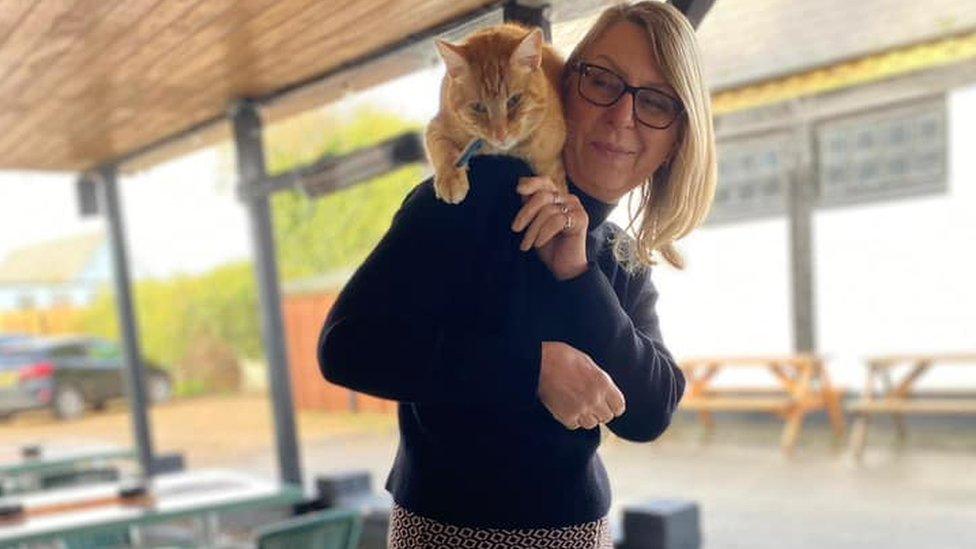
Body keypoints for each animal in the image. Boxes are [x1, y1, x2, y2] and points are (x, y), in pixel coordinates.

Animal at [426, 23, 564, 203]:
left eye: (514, 100)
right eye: (478, 107)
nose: (500, 134)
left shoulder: (551, 161)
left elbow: (558, 190)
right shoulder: (437, 126)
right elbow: (443, 148)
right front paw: (450, 177)